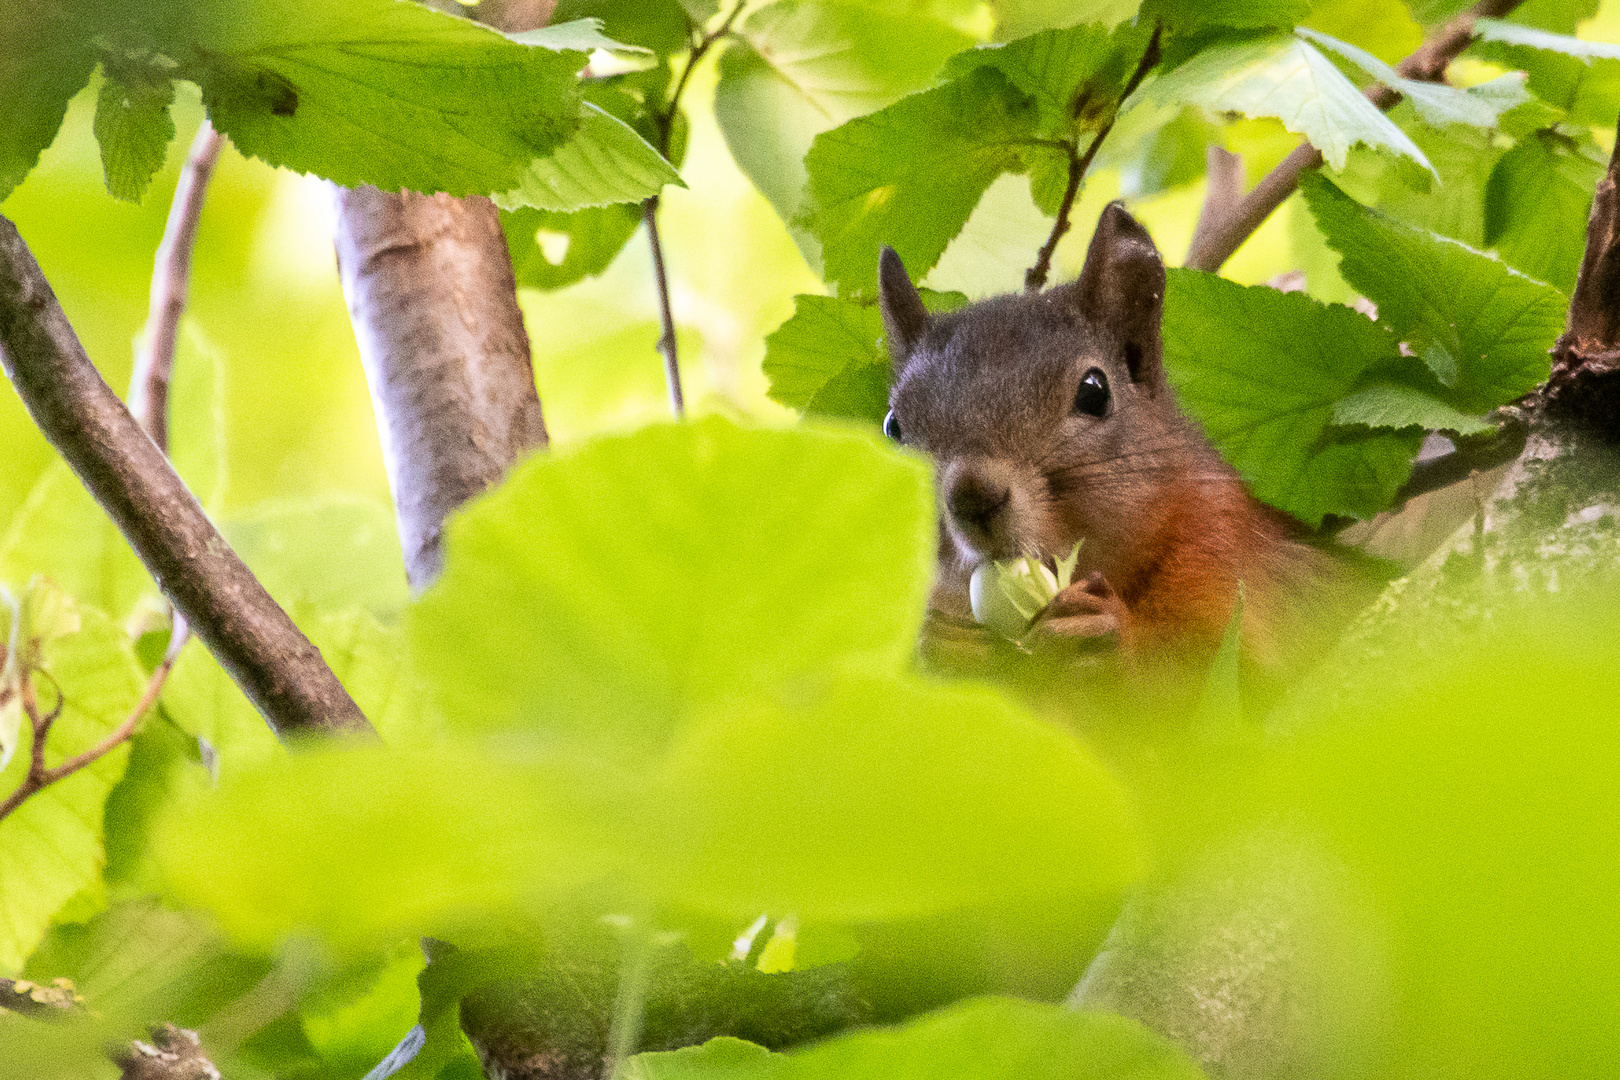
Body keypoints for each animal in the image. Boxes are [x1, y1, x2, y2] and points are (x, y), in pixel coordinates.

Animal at [881, 204, 1347, 676]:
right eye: (892, 427)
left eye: (1095, 392)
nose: (972, 496)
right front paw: (946, 642)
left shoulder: (1226, 556)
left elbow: (1223, 669)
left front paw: (1103, 631)